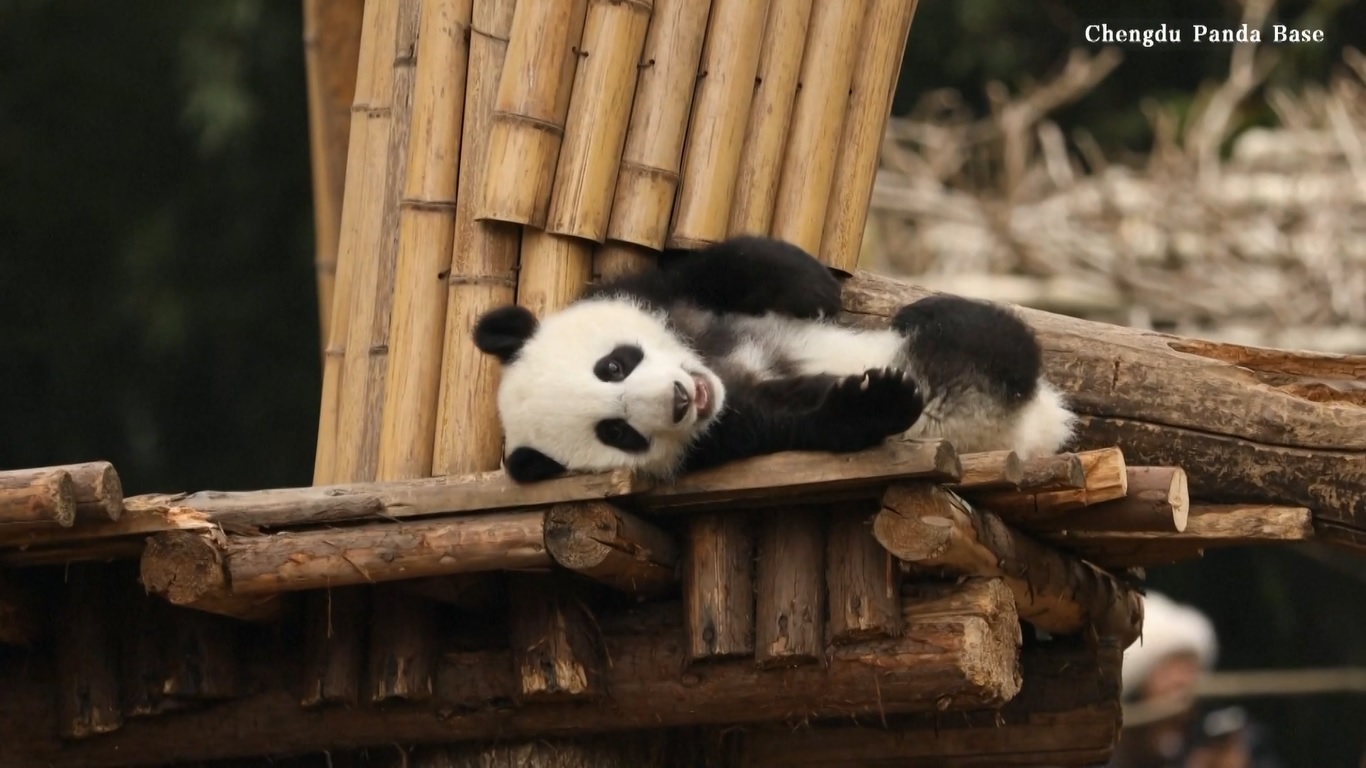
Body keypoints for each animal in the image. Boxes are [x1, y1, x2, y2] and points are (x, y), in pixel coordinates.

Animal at [473, 235, 1076, 484]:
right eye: (617, 433)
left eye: (613, 366)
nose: (680, 399)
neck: (720, 370)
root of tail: (1030, 430)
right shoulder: (717, 441)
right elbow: (793, 423)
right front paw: (876, 398)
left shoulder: (658, 294)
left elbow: (726, 266)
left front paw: (813, 288)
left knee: (976, 330)